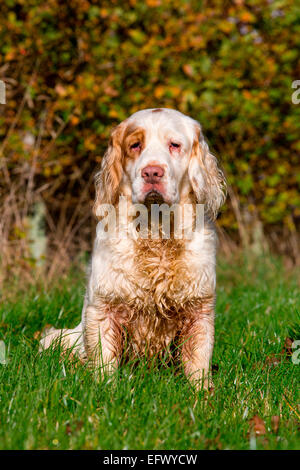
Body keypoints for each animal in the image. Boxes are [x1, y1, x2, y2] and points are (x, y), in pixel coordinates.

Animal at [41, 109, 226, 390]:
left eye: (174, 145)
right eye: (135, 145)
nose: (152, 172)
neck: (156, 232)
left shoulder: (199, 310)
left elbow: (198, 365)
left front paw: (202, 394)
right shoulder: (103, 309)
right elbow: (104, 363)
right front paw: (106, 390)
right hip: (63, 339)